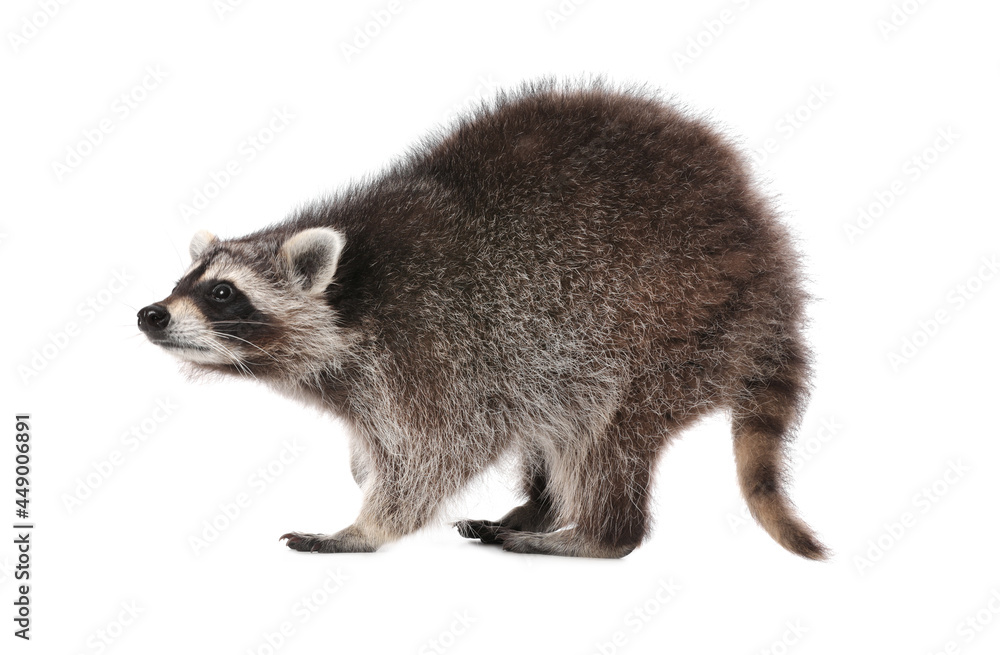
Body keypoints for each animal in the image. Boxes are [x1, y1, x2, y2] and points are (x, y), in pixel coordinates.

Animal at [138, 82, 828, 560]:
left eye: (223, 293)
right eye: (183, 281)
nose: (150, 314)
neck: (354, 291)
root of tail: (771, 267)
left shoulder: (441, 343)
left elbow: (439, 450)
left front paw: (367, 525)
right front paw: (363, 467)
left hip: (669, 326)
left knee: (607, 434)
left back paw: (596, 535)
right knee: (559, 420)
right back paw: (539, 507)